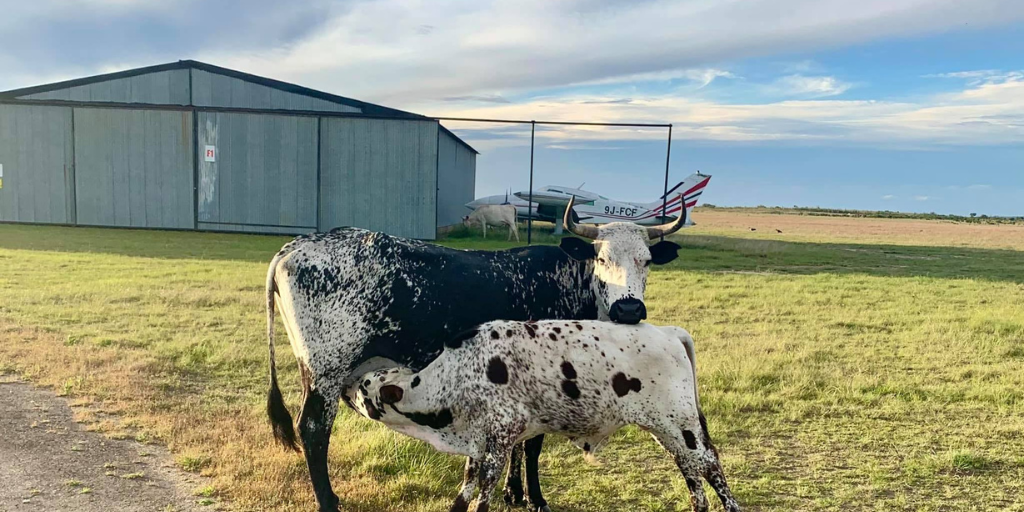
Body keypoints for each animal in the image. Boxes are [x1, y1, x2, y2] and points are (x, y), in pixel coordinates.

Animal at [266, 197, 687, 512]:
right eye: (602, 259)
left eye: (647, 260)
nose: (629, 309)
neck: (567, 282)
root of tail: (294, 247)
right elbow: (533, 445)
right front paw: (535, 498)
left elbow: (521, 441)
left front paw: (513, 492)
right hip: (326, 369)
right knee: (313, 429)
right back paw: (328, 501)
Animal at [346, 320, 740, 512]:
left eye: (366, 386)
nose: (345, 386)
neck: (458, 374)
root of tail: (669, 332)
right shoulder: (478, 443)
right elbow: (464, 490)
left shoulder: (501, 440)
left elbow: (483, 494)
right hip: (668, 431)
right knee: (692, 477)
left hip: (683, 425)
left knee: (711, 468)